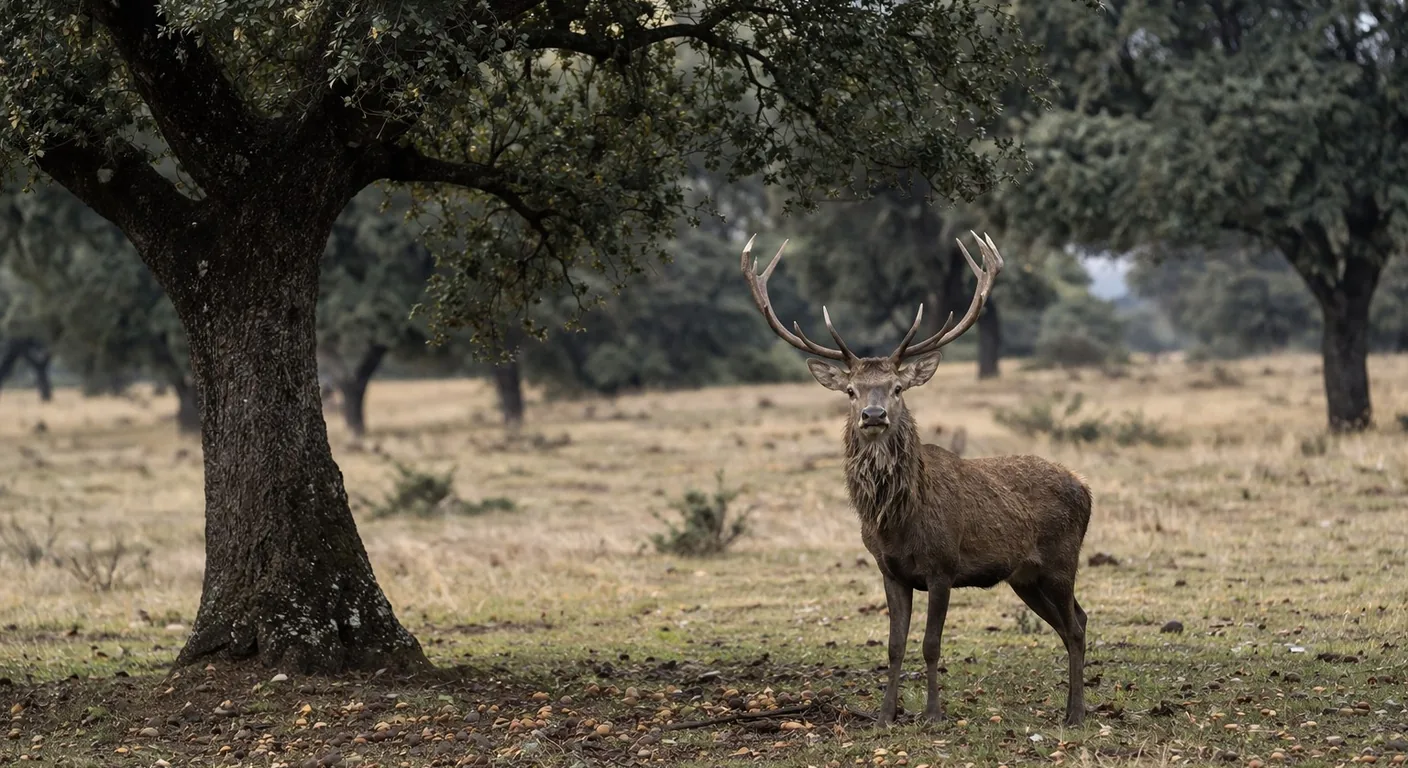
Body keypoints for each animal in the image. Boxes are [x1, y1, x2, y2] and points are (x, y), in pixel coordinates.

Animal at [740, 232, 1092, 727]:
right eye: (851, 390)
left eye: (897, 388)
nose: (873, 415)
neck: (897, 521)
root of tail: (1086, 488)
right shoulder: (890, 570)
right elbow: (894, 645)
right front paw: (885, 715)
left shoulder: (942, 565)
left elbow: (930, 645)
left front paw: (933, 714)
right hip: (1026, 577)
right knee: (1074, 620)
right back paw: (1070, 706)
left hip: (1061, 560)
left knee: (1076, 626)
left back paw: (1075, 714)